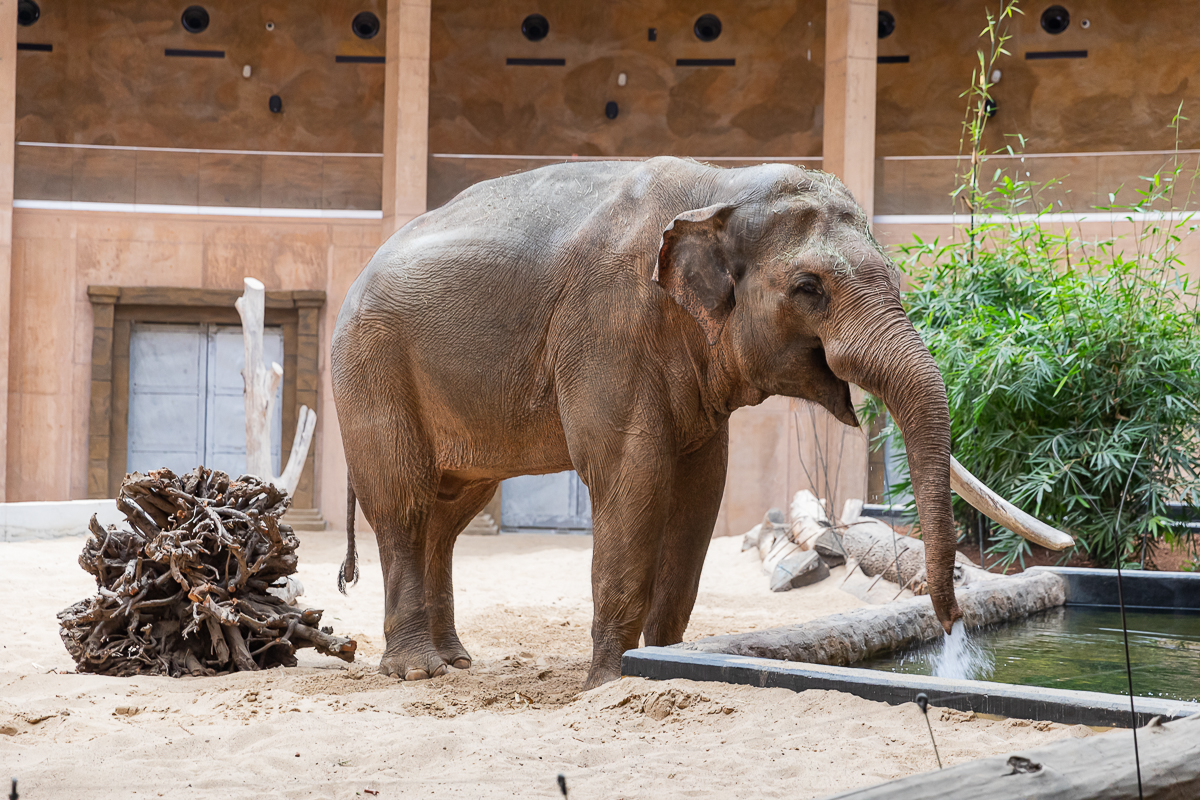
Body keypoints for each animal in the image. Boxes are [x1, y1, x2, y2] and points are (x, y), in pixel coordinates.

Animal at [328, 155, 1070, 690]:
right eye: (809, 289)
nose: (951, 629)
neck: (719, 187)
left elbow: (700, 490)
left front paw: (664, 666)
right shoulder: (607, 328)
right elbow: (631, 479)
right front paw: (606, 684)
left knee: (449, 513)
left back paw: (456, 662)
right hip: (370, 367)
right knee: (403, 505)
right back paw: (415, 672)